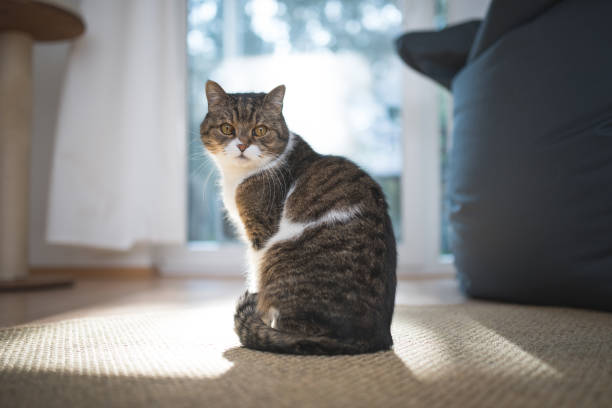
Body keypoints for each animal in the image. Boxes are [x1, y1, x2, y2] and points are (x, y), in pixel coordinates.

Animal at [198, 80, 394, 354]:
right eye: (227, 128)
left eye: (260, 130)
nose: (242, 145)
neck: (239, 177)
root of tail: (372, 337)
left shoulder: (260, 234)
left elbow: (255, 276)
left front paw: (259, 318)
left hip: (277, 253)